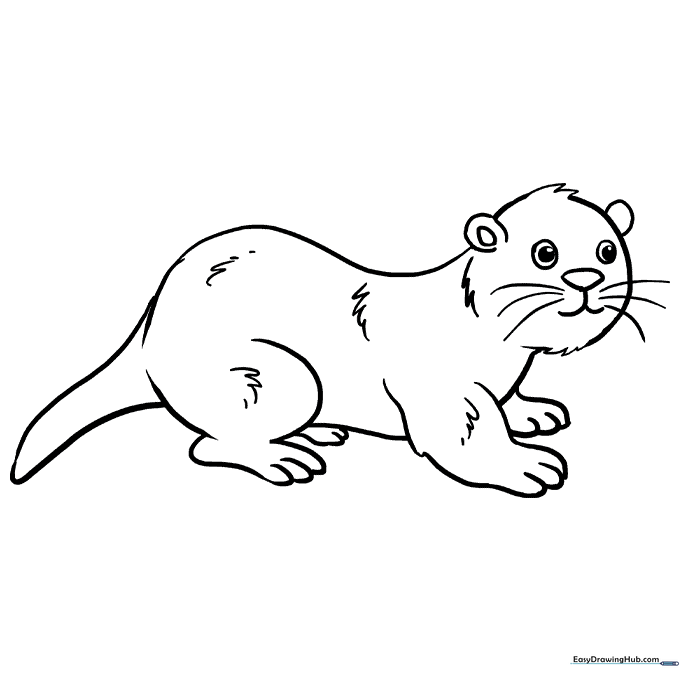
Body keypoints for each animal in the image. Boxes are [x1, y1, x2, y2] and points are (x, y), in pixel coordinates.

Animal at [12, 184, 665, 497]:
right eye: (545, 253)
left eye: (608, 250)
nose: (588, 281)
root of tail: (149, 326)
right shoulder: (436, 385)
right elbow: (460, 433)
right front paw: (520, 463)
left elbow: (507, 405)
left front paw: (531, 413)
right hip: (272, 375)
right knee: (207, 444)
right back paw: (282, 455)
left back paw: (318, 433)